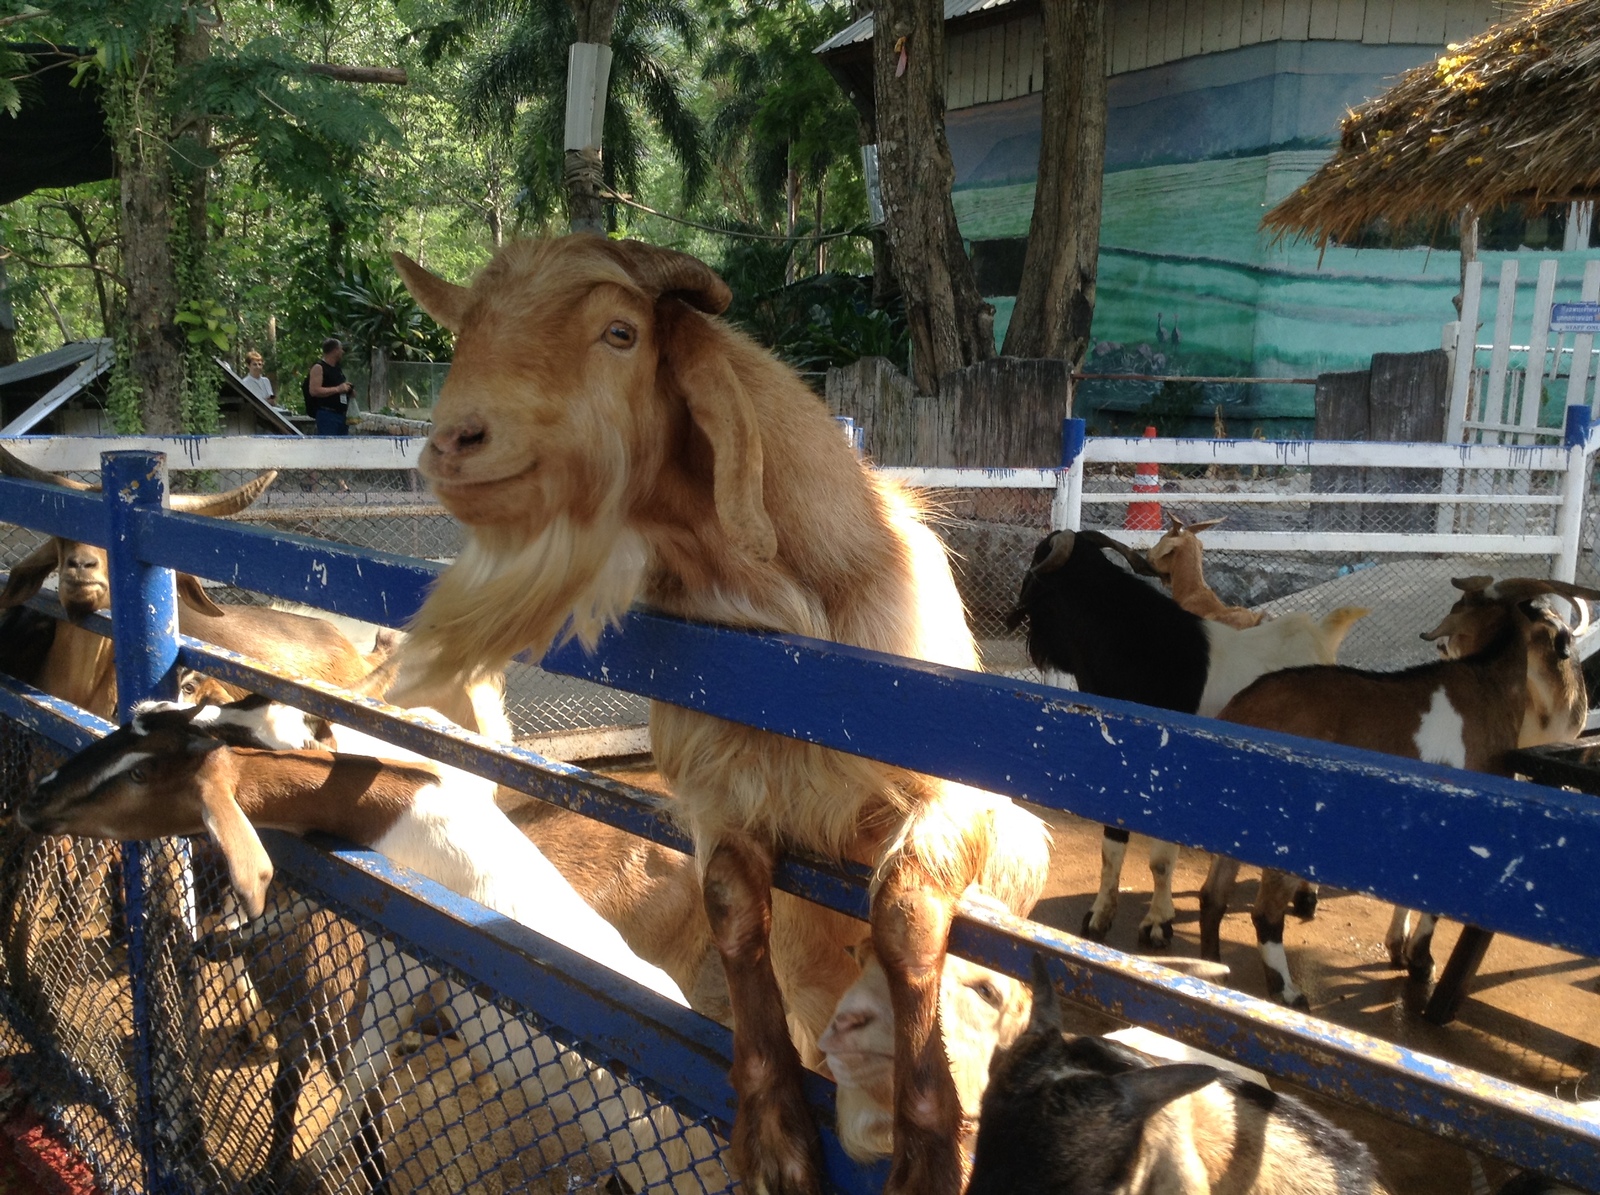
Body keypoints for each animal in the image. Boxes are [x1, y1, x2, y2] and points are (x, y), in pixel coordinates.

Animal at [393, 236, 1056, 1195]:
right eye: (464, 334)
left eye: (620, 332)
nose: (452, 440)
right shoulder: (716, 793)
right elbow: (734, 909)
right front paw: (777, 1134)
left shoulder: (973, 795)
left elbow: (901, 914)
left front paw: (927, 1144)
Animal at [998, 534, 1363, 953]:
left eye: (1035, 568)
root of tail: (1319, 639)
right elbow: (1111, 849)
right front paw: (1099, 916)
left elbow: (1159, 859)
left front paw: (1158, 924)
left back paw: (1306, 898)